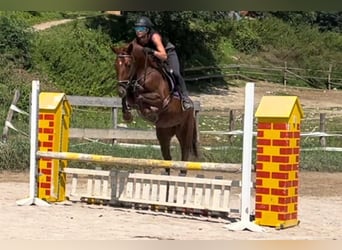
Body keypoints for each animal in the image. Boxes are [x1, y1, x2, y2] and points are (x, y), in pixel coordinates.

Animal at [111, 39, 199, 176]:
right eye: (116, 65)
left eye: (128, 64)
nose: (120, 90)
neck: (144, 74)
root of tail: (193, 110)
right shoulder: (130, 93)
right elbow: (128, 98)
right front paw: (127, 115)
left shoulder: (161, 99)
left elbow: (141, 97)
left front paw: (150, 113)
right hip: (164, 133)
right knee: (167, 157)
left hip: (185, 131)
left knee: (185, 153)